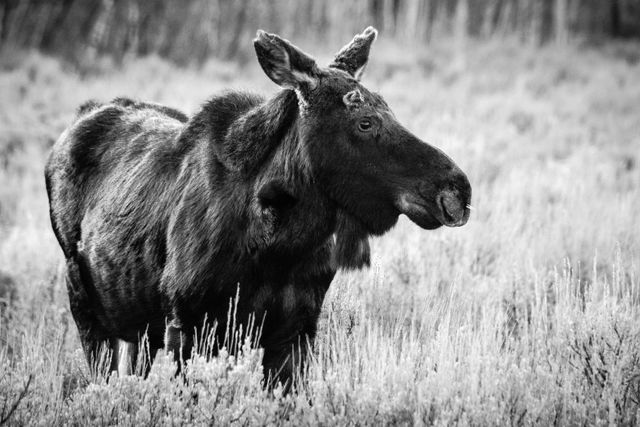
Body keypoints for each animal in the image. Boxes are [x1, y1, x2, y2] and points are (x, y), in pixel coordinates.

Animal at [45, 26, 472, 388]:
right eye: (365, 122)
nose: (457, 190)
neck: (279, 246)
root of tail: (82, 115)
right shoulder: (185, 325)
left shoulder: (295, 331)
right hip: (85, 305)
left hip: (139, 325)